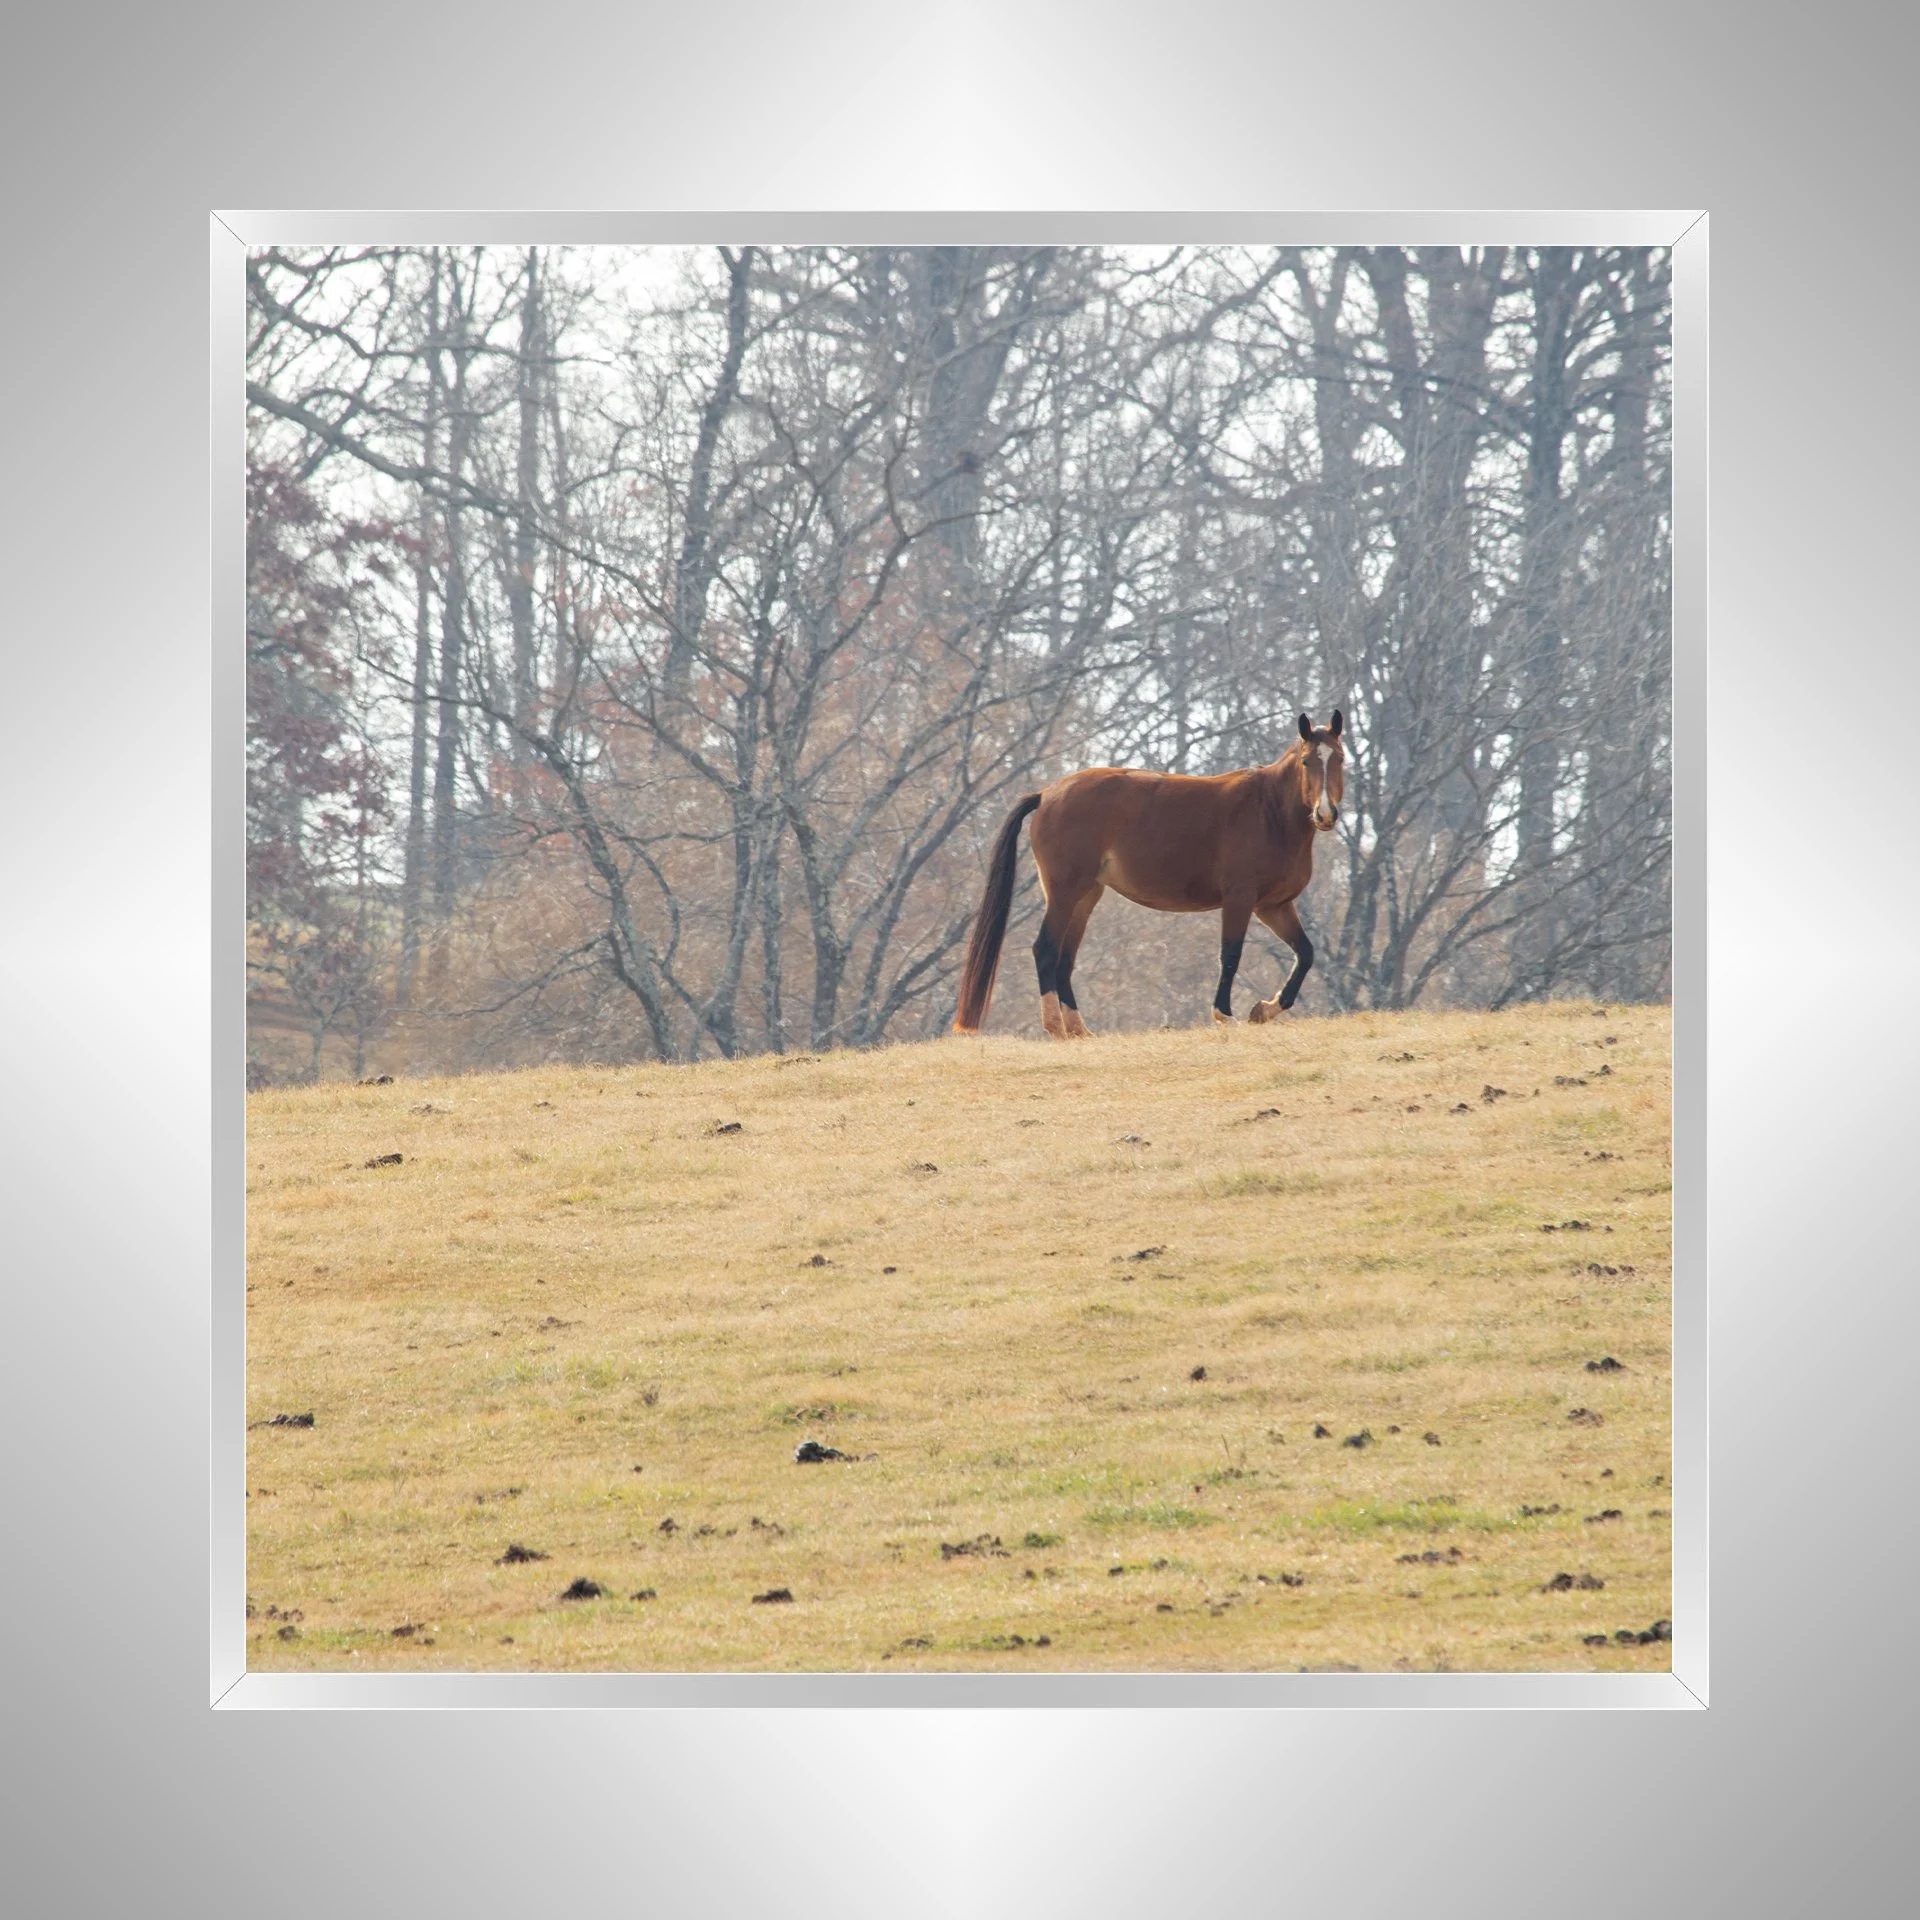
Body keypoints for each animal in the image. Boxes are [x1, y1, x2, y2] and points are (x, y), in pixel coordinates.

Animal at [952, 712, 1345, 1039]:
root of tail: (1047, 794)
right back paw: (1056, 1028)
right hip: (1065, 893)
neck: (1269, 812)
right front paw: (1225, 1015)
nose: (1326, 814)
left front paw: (1264, 1009)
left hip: (1086, 896)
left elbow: (1305, 954)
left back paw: (1079, 1030)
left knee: (1065, 957)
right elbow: (1230, 955)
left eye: (1339, 759)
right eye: (1307, 761)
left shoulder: (1273, 906)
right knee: (1045, 950)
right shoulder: (1240, 899)